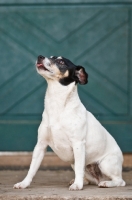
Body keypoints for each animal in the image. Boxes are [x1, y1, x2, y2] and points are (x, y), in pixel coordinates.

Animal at [13, 55, 126, 190]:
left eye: (61, 61)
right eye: (50, 57)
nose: (40, 56)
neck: (57, 105)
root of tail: (100, 179)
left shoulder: (78, 144)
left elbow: (79, 168)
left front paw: (77, 185)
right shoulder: (40, 145)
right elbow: (32, 168)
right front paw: (24, 183)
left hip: (106, 164)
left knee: (120, 181)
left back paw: (105, 183)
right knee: (88, 178)